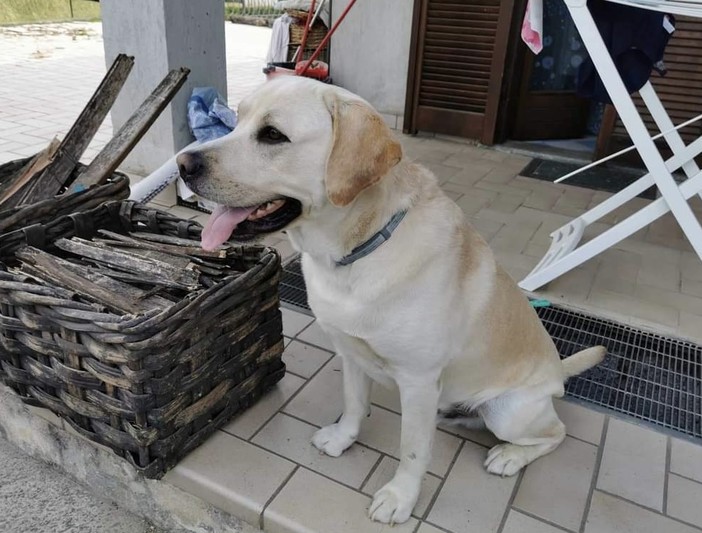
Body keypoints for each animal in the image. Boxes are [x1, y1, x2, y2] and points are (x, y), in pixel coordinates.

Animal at [177, 75, 604, 524]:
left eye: (273, 135)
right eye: (237, 119)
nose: (183, 164)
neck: (355, 251)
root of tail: (558, 372)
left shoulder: (418, 380)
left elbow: (412, 450)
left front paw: (401, 497)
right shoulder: (349, 352)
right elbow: (352, 403)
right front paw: (343, 438)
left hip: (509, 412)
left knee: (555, 433)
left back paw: (508, 456)